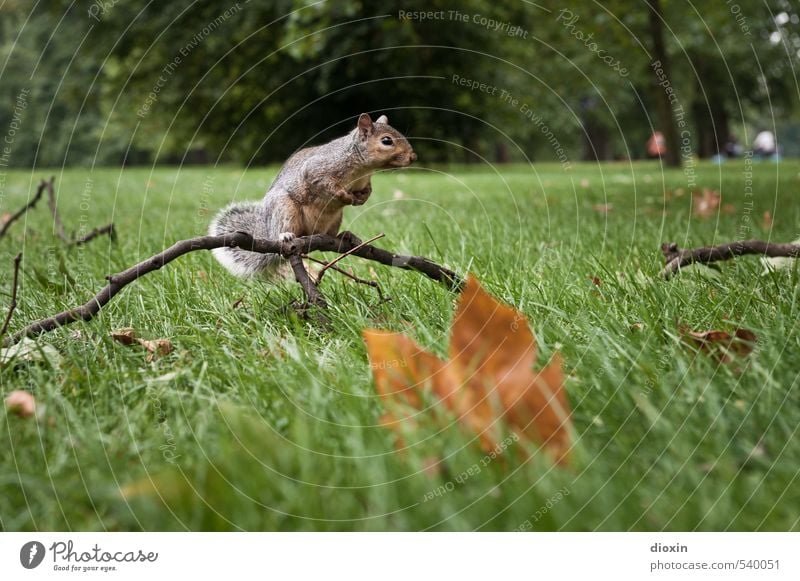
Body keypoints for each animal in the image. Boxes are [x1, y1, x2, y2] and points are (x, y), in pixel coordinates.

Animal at [209, 114, 416, 278]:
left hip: (334, 219)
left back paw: (346, 236)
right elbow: (325, 184)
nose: (413, 157)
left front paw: (362, 199)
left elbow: (367, 191)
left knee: (331, 235)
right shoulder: (316, 171)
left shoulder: (365, 182)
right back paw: (285, 236)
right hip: (285, 209)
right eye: (387, 141)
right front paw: (344, 196)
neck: (362, 168)